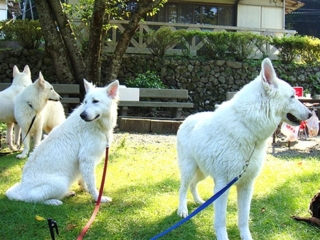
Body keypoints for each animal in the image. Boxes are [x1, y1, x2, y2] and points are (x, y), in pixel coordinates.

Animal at [176, 58, 312, 240]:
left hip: (202, 172)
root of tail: (188, 118)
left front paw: (246, 237)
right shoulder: (222, 185)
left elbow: (243, 219)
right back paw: (182, 210)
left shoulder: (246, 186)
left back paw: (199, 202)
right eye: (292, 96)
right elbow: (221, 221)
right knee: (183, 188)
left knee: (193, 185)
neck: (248, 128)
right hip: (189, 169)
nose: (311, 114)